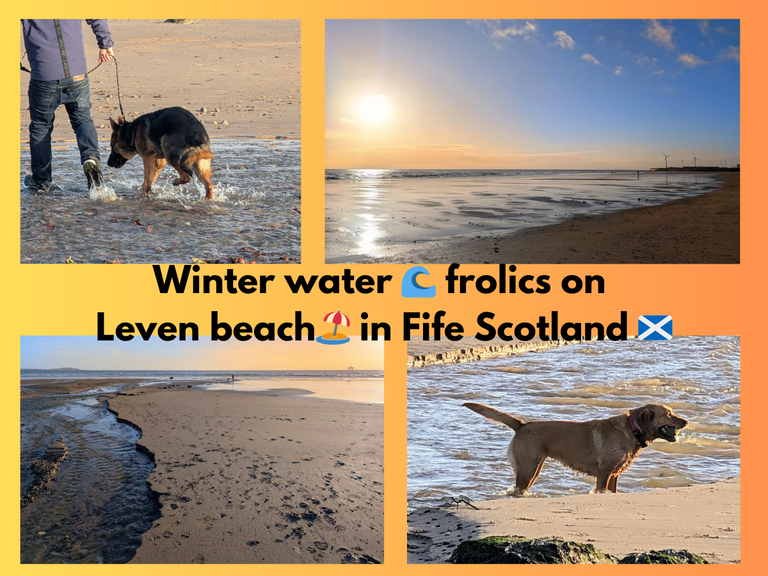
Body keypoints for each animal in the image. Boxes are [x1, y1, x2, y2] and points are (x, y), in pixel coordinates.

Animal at [464, 404, 688, 496]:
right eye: (668, 414)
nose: (686, 421)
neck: (633, 431)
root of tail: (522, 425)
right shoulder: (604, 472)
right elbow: (600, 490)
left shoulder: (614, 474)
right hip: (529, 468)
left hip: (534, 468)